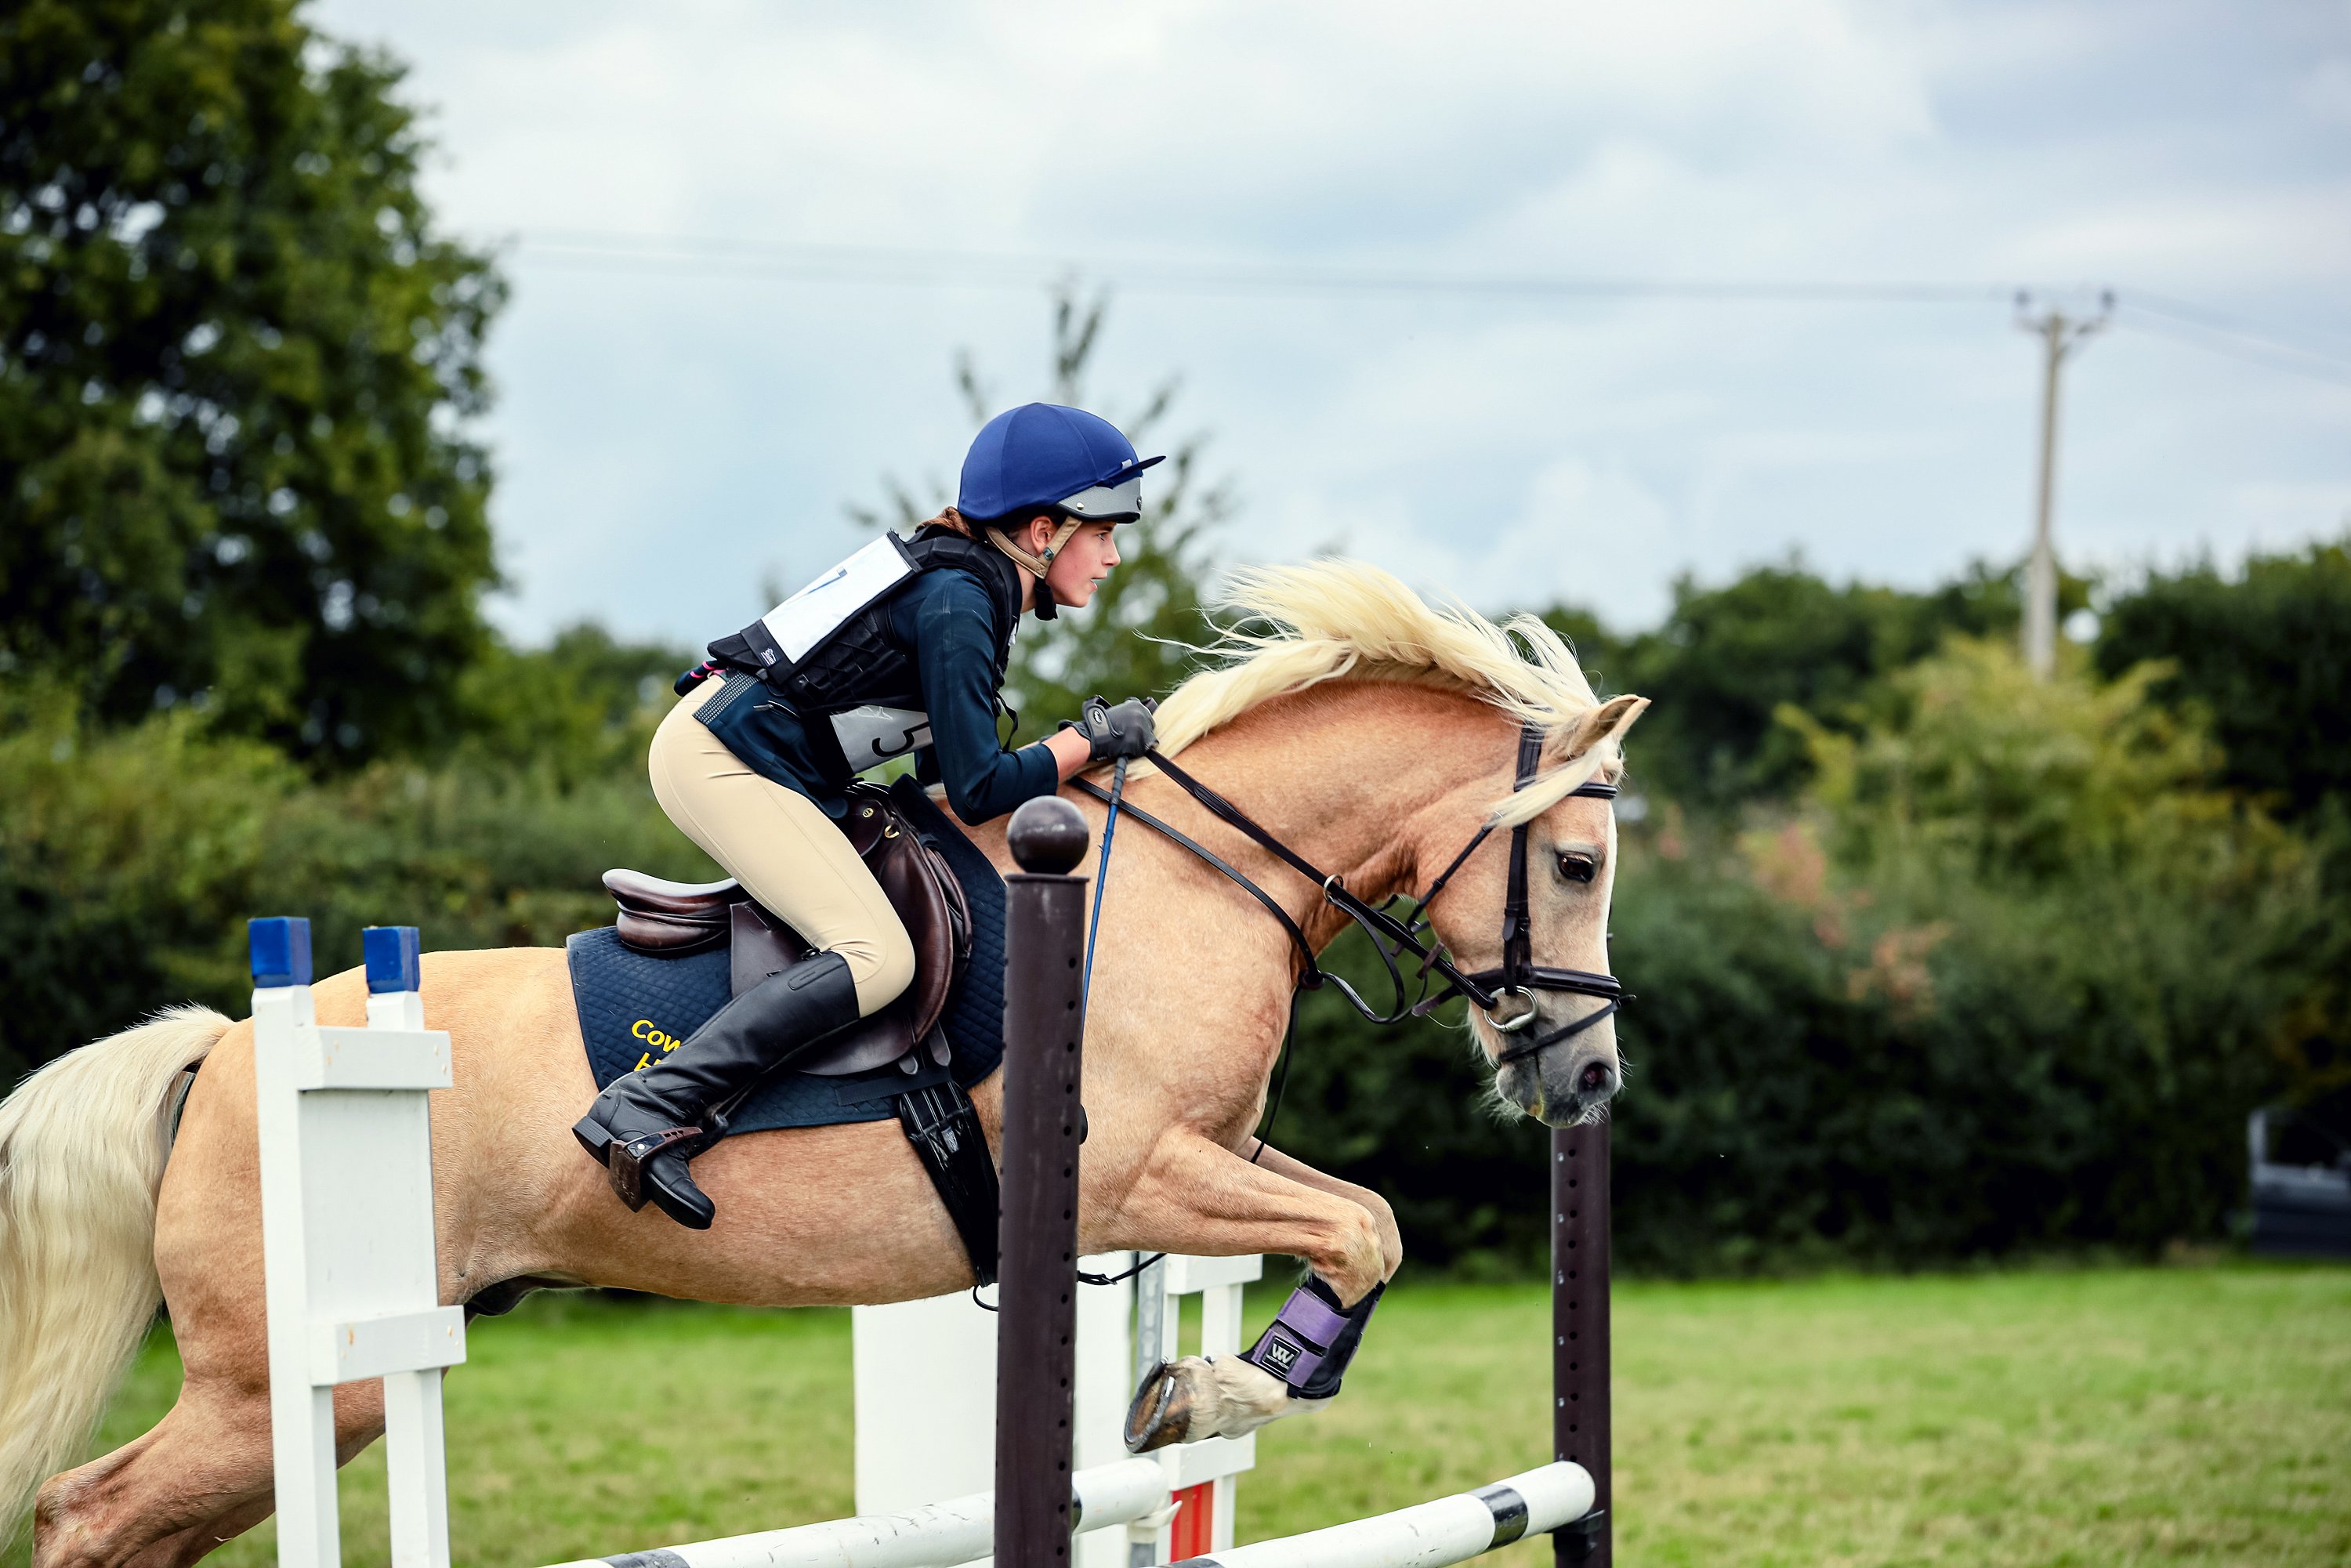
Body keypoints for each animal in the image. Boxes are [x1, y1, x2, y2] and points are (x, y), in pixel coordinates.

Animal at [0, 559, 1645, 1568]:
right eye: (1573, 862)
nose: (1589, 1083)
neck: (1183, 877)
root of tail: (226, 1050)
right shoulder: (1134, 1173)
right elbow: (1362, 1230)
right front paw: (1218, 1389)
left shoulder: (1211, 1160)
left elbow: (1367, 1221)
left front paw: (1210, 1386)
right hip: (288, 1381)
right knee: (87, 1511)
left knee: (128, 1524)